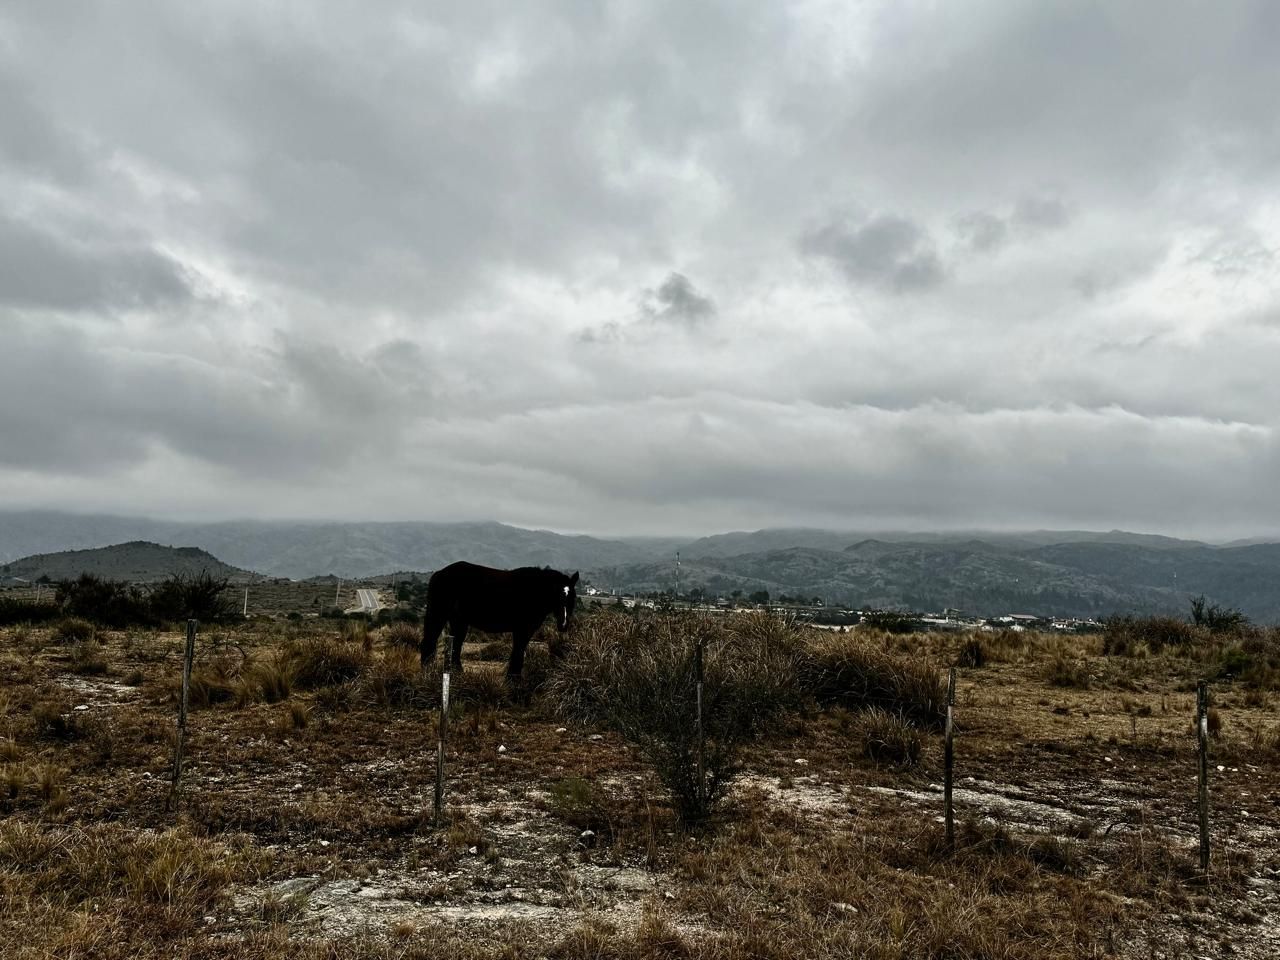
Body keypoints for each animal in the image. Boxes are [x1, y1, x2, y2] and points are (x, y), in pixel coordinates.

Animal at [419, 563, 581, 686]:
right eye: (557, 596)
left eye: (572, 597)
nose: (563, 624)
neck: (533, 591)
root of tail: (439, 573)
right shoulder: (522, 629)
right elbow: (518, 652)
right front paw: (513, 680)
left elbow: (518, 651)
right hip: (439, 616)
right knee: (430, 643)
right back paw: (428, 674)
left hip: (458, 622)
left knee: (455, 647)